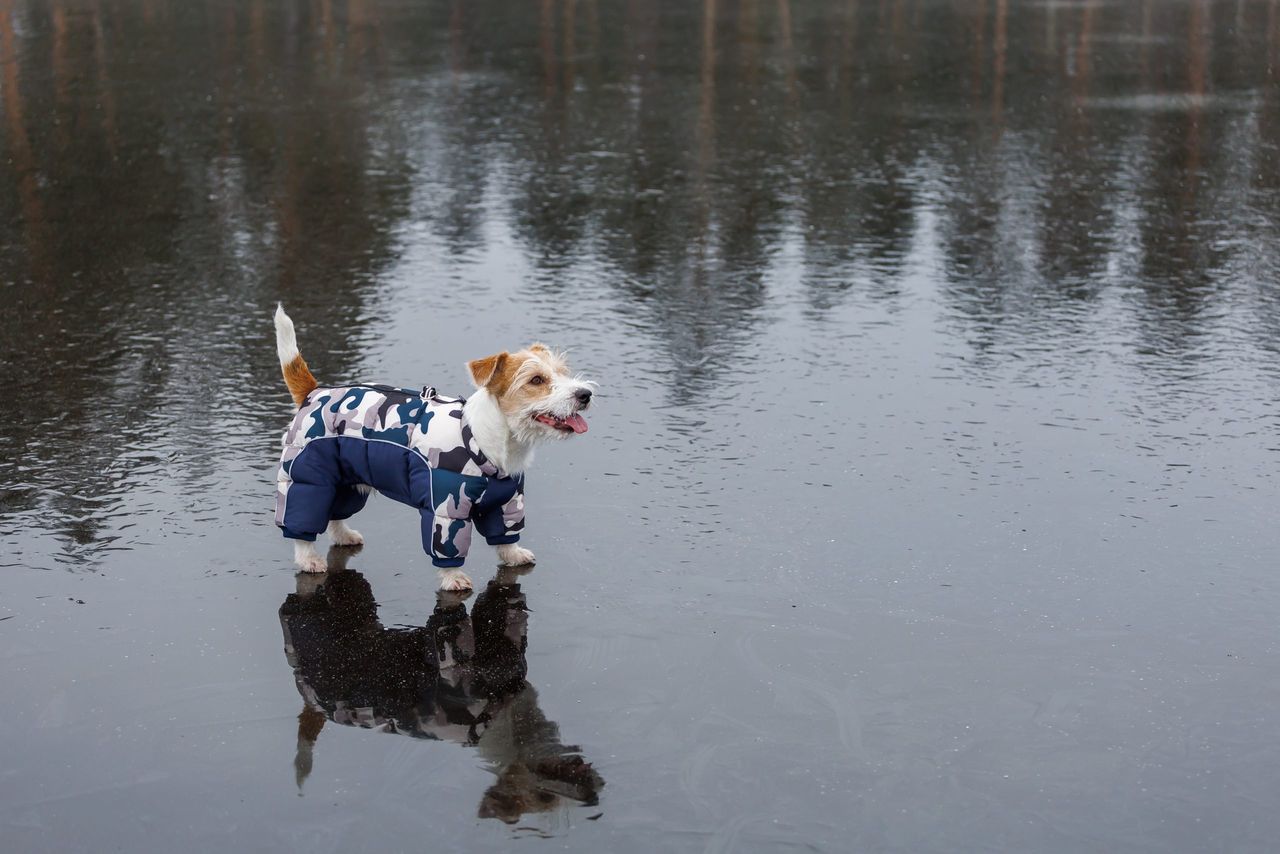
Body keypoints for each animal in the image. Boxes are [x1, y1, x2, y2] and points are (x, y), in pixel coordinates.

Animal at [272, 303, 591, 591]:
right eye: (536, 380)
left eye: (563, 372)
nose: (585, 394)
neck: (479, 439)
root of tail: (313, 392)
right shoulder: (445, 510)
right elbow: (448, 548)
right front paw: (453, 578)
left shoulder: (506, 502)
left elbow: (506, 535)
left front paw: (512, 555)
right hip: (307, 478)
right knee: (301, 520)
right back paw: (308, 558)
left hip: (346, 480)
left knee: (335, 513)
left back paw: (344, 535)